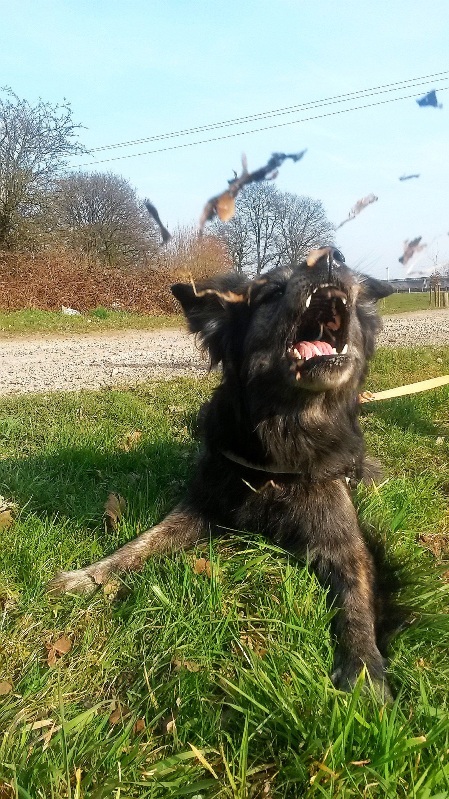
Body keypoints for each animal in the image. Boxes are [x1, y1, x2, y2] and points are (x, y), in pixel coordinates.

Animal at [48, 247, 392, 696]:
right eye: (271, 291)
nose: (330, 258)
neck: (286, 435)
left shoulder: (342, 539)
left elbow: (357, 601)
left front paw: (365, 669)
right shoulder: (201, 505)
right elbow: (139, 545)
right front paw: (87, 577)